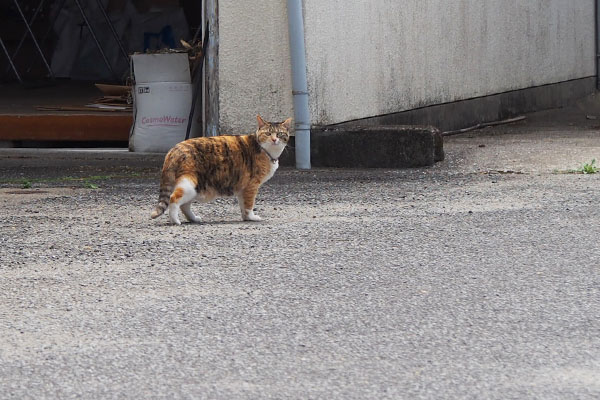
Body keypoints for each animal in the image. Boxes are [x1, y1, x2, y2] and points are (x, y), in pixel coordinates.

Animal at [150, 115, 290, 225]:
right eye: (268, 133)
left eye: (279, 134)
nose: (274, 139)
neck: (265, 151)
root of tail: (174, 149)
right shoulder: (252, 186)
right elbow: (249, 204)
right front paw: (252, 217)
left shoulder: (243, 188)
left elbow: (243, 205)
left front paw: (246, 218)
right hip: (189, 184)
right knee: (174, 198)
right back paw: (175, 220)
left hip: (195, 187)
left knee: (184, 205)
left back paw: (193, 219)